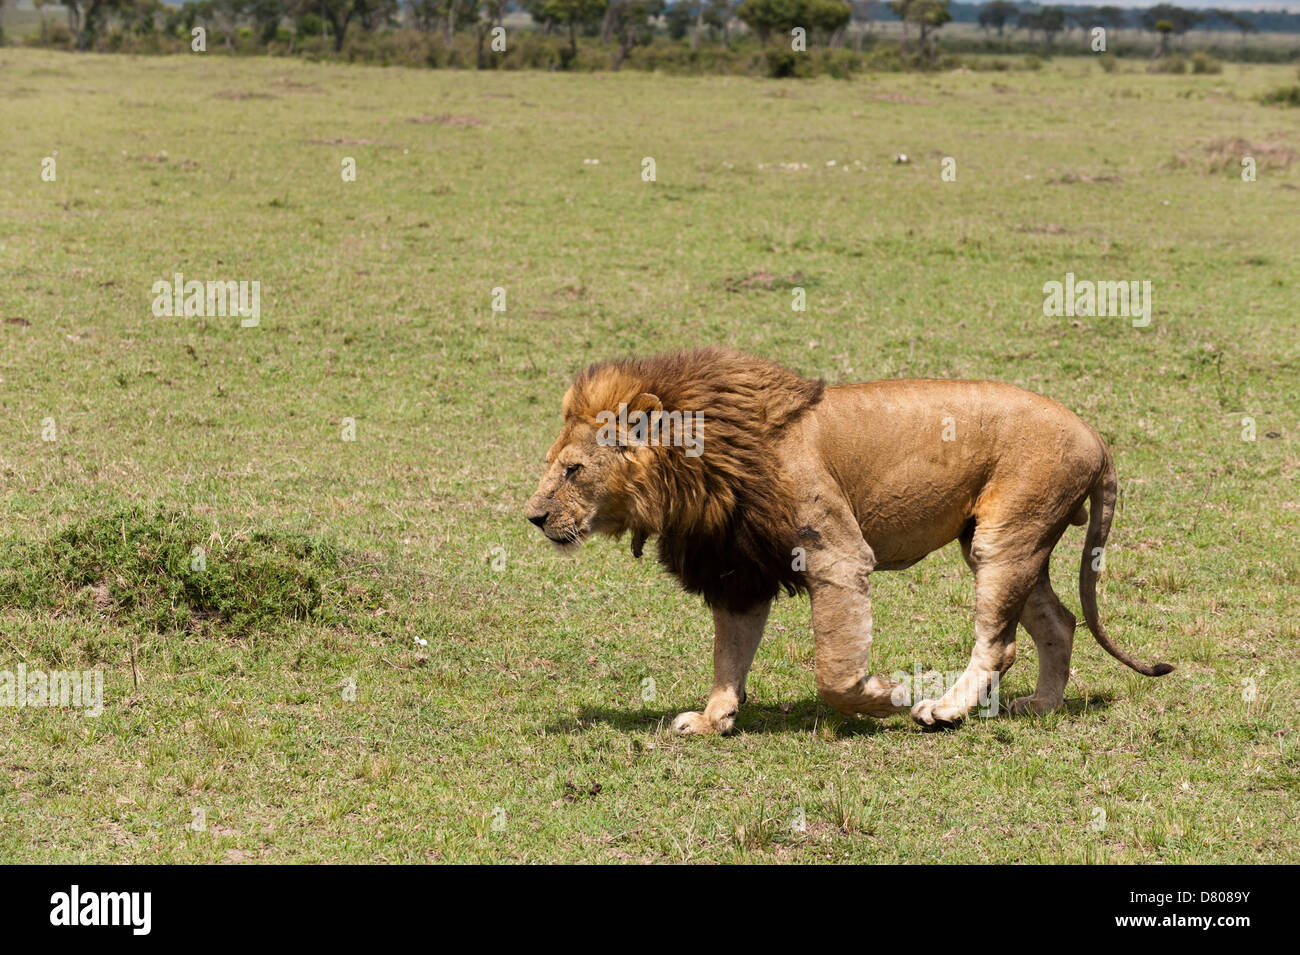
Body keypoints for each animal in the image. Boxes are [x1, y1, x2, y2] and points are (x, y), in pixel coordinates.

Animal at [525, 348, 1172, 733]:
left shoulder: (836, 556)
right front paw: (713, 720)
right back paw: (1041, 706)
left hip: (1008, 534)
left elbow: (833, 673)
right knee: (1059, 622)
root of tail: (1094, 435)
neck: (705, 465)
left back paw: (943, 709)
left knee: (1000, 642)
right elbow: (728, 656)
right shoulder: (740, 570)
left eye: (574, 470)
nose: (532, 517)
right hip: (1005, 540)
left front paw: (888, 696)